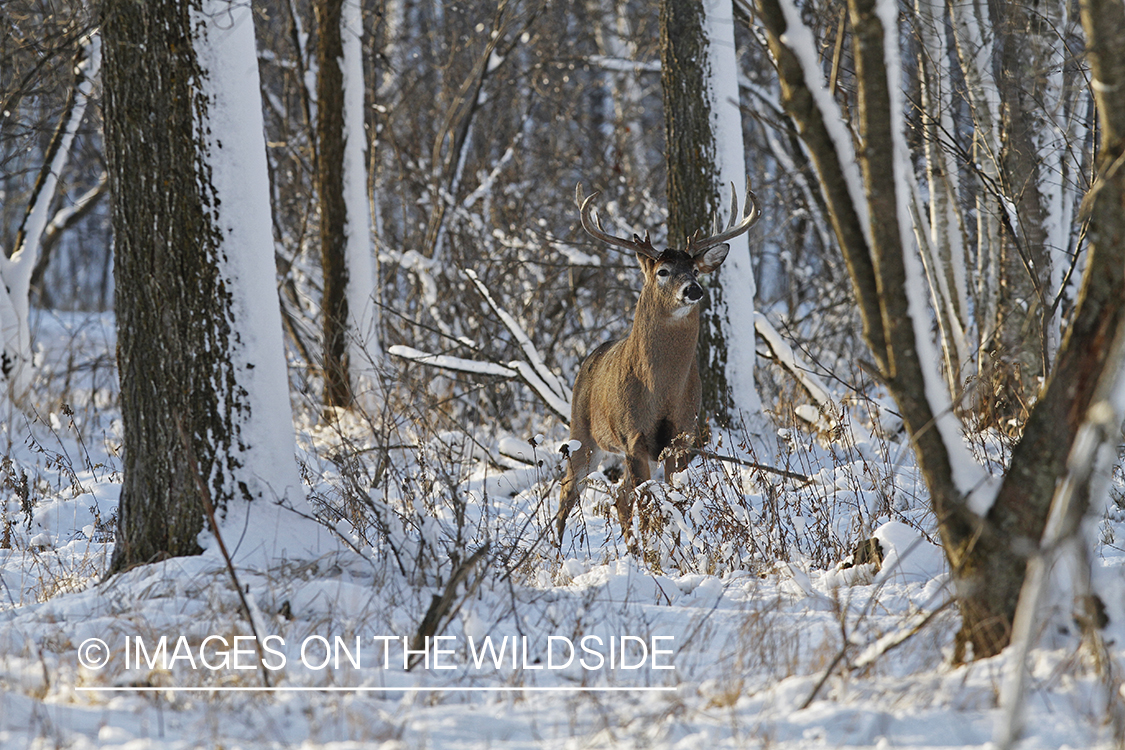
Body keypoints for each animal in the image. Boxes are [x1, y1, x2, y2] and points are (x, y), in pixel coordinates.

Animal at [558, 182, 760, 546]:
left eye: (695, 270)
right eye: (662, 272)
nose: (693, 290)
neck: (662, 390)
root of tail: (592, 356)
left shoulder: (682, 435)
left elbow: (674, 501)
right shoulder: (633, 436)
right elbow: (646, 501)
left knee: (619, 496)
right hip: (582, 430)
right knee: (570, 491)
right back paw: (556, 549)